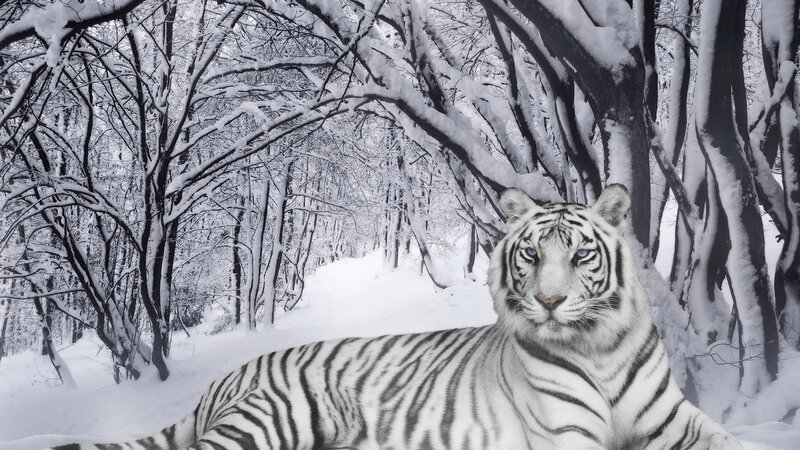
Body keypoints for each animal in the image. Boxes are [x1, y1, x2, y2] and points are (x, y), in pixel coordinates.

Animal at [56, 184, 743, 450]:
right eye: (531, 255)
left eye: (579, 255)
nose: (549, 302)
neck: (598, 348)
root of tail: (223, 382)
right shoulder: (569, 436)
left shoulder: (672, 420)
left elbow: (734, 440)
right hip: (275, 418)